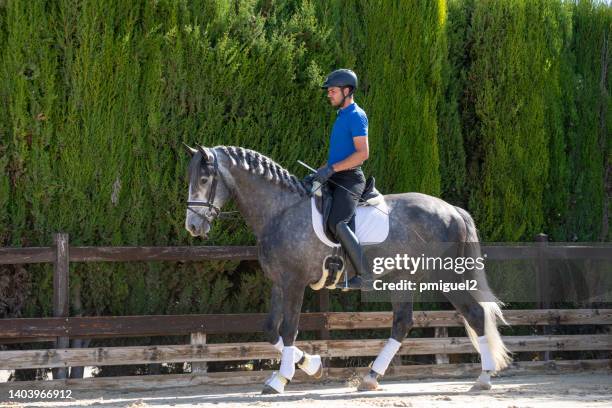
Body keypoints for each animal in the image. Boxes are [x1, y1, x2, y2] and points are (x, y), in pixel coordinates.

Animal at [184, 145, 512, 394]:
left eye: (204, 179)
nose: (193, 227)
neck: (280, 210)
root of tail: (452, 210)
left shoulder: (294, 283)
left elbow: (289, 329)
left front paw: (281, 379)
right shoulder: (279, 282)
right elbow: (270, 330)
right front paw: (312, 366)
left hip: (444, 276)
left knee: (474, 314)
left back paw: (483, 378)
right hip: (403, 279)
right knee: (403, 322)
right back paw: (371, 377)